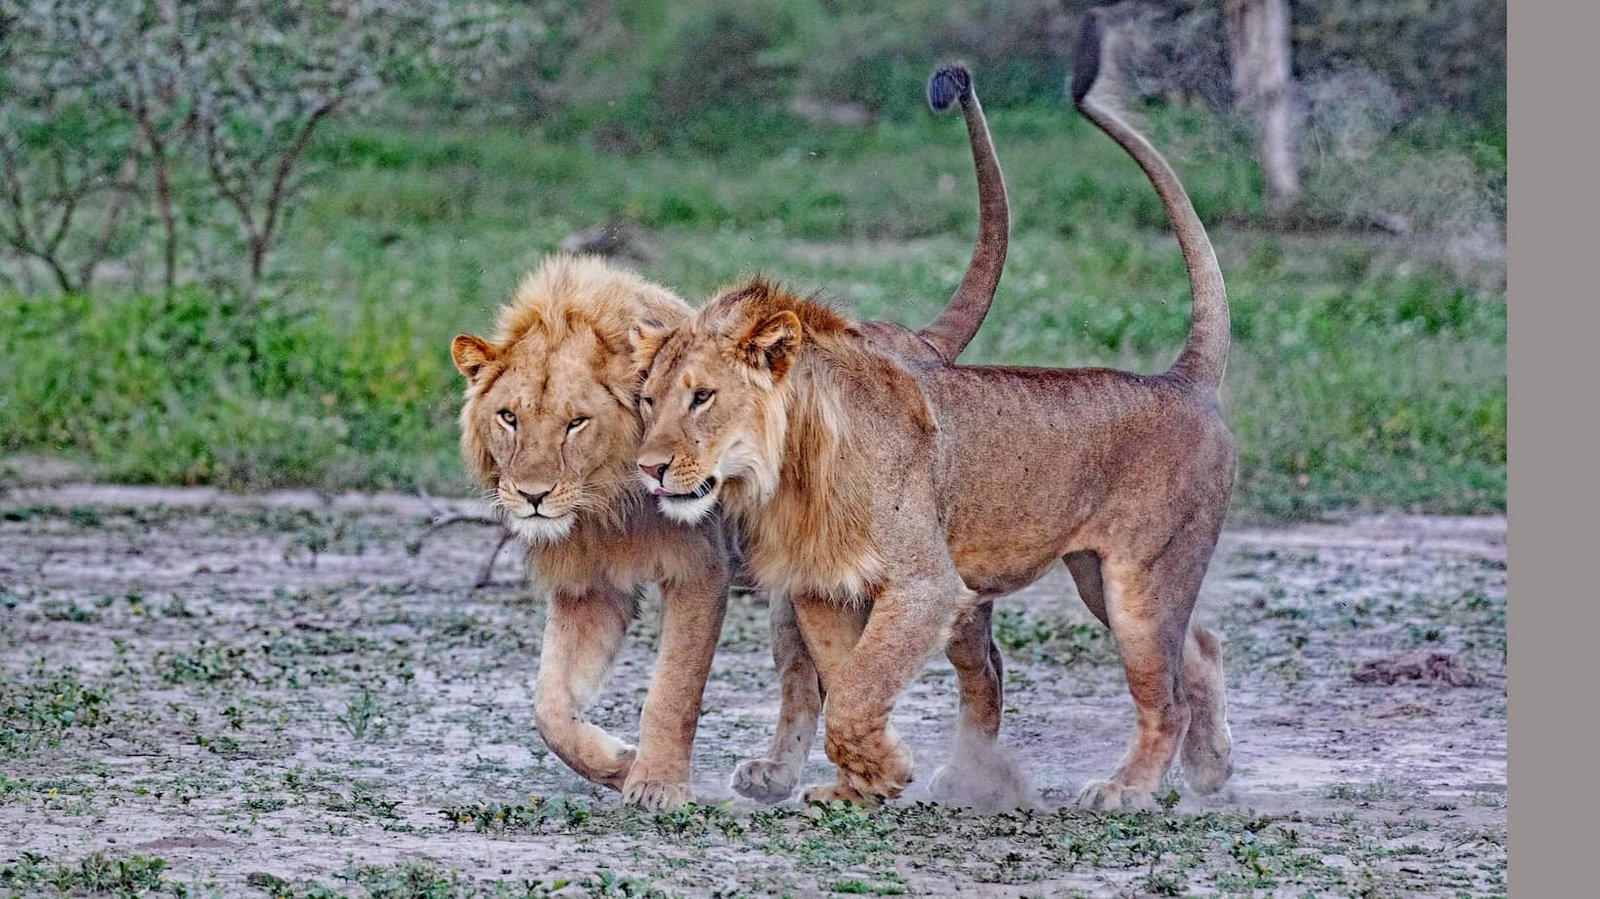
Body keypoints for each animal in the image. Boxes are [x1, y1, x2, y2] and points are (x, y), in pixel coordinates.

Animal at [450, 63, 1013, 811]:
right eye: (509, 417)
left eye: (575, 421)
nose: (534, 497)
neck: (603, 502)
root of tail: (909, 342)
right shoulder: (588, 584)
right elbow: (549, 707)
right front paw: (615, 762)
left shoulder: (701, 570)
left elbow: (673, 688)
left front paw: (656, 781)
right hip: (800, 586)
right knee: (806, 679)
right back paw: (780, 774)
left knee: (978, 658)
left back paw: (973, 775)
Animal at [631, 13, 1235, 812]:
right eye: (647, 400)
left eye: (702, 396)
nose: (649, 468)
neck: (792, 469)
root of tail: (1183, 380)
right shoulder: (821, 585)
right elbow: (840, 679)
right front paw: (865, 780)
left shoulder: (926, 585)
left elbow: (857, 685)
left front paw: (876, 773)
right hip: (1096, 576)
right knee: (1195, 649)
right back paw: (1210, 768)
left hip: (1138, 581)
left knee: (1158, 692)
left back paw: (1126, 789)